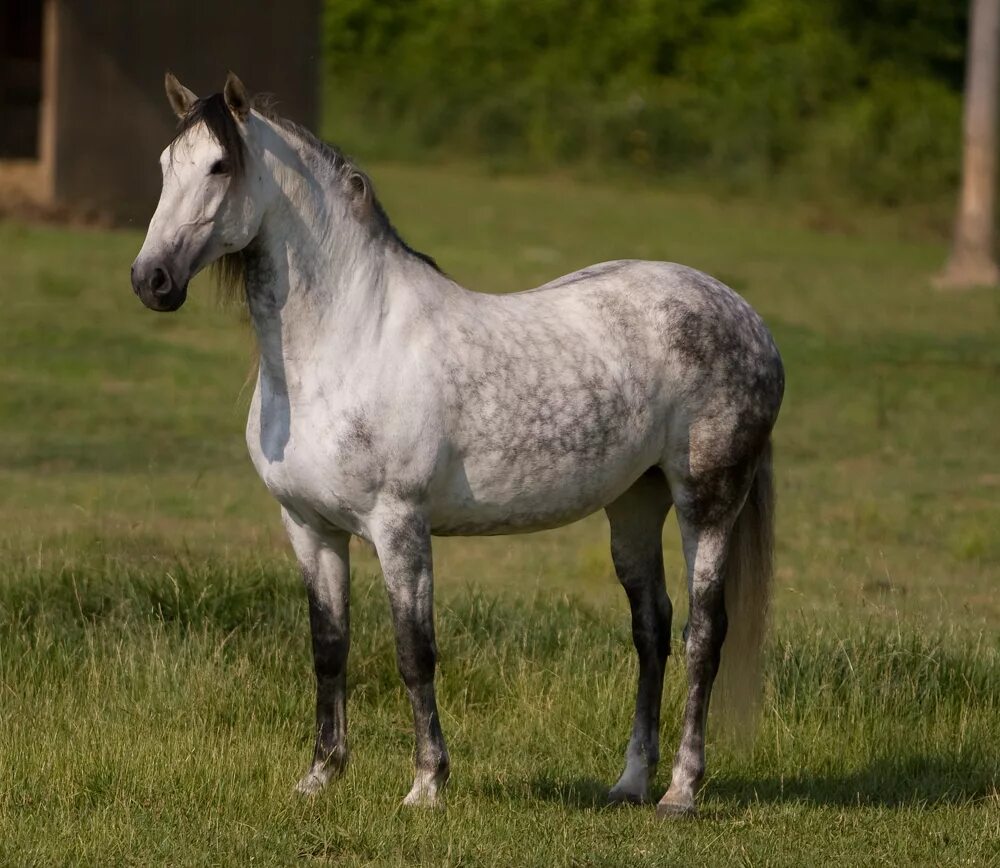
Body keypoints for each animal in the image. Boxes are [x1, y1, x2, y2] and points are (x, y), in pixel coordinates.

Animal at [131, 73, 780, 812]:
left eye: (219, 166)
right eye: (165, 165)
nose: (151, 280)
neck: (345, 343)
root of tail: (746, 315)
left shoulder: (399, 525)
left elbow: (415, 652)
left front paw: (426, 784)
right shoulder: (309, 527)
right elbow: (329, 648)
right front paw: (320, 776)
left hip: (708, 502)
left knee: (705, 634)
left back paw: (681, 790)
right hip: (635, 505)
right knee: (653, 630)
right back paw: (629, 783)